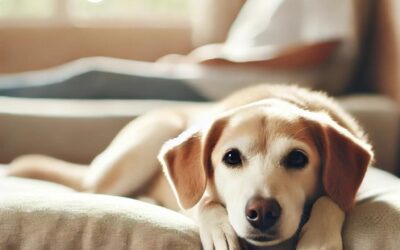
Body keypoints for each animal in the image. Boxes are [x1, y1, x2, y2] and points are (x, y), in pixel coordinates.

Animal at [7, 85, 374, 249]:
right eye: (231, 158)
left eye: (298, 158)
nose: (262, 212)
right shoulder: (193, 195)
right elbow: (204, 203)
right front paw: (219, 229)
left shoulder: (349, 190)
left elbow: (331, 200)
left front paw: (320, 239)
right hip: (138, 149)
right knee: (91, 189)